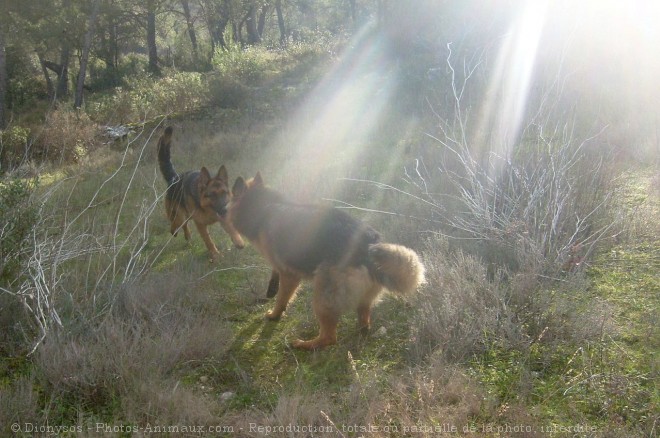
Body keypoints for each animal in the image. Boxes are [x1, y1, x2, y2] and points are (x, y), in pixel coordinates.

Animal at [158, 125, 245, 260]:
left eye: (224, 193)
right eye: (212, 195)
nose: (225, 209)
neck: (207, 208)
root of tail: (174, 178)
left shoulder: (223, 218)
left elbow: (232, 229)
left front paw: (238, 240)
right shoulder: (200, 224)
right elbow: (208, 241)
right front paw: (215, 254)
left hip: (186, 215)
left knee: (184, 225)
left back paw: (187, 235)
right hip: (178, 214)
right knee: (176, 222)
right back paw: (174, 230)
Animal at [227, 171, 426, 350]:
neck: (266, 205)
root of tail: (367, 246)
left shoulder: (289, 275)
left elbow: (282, 299)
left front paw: (274, 315)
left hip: (322, 298)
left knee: (329, 337)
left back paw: (305, 344)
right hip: (359, 300)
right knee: (364, 322)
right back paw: (359, 332)